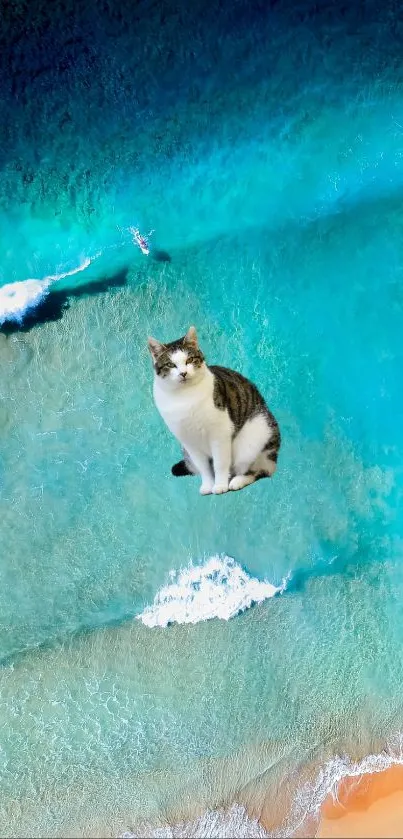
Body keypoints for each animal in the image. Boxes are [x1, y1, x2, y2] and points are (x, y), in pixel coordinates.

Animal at [148, 326, 280, 498]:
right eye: (170, 364)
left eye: (189, 360)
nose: (183, 373)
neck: (184, 397)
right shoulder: (189, 442)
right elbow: (204, 467)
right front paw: (208, 485)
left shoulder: (219, 434)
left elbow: (220, 463)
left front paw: (220, 485)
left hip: (255, 439)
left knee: (260, 471)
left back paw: (237, 481)